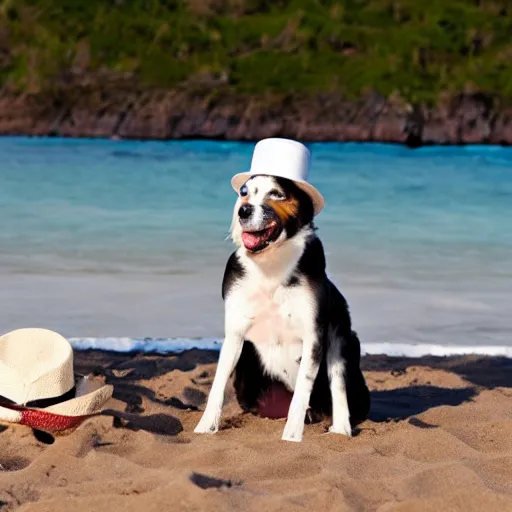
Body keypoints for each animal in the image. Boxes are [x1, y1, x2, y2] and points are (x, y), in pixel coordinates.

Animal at [194, 138, 370, 442]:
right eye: (244, 194)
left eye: (276, 194)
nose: (243, 210)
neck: (270, 264)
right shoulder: (235, 332)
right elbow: (217, 383)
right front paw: (206, 426)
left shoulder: (314, 335)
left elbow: (303, 391)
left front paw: (292, 436)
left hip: (343, 336)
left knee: (337, 388)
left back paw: (340, 429)